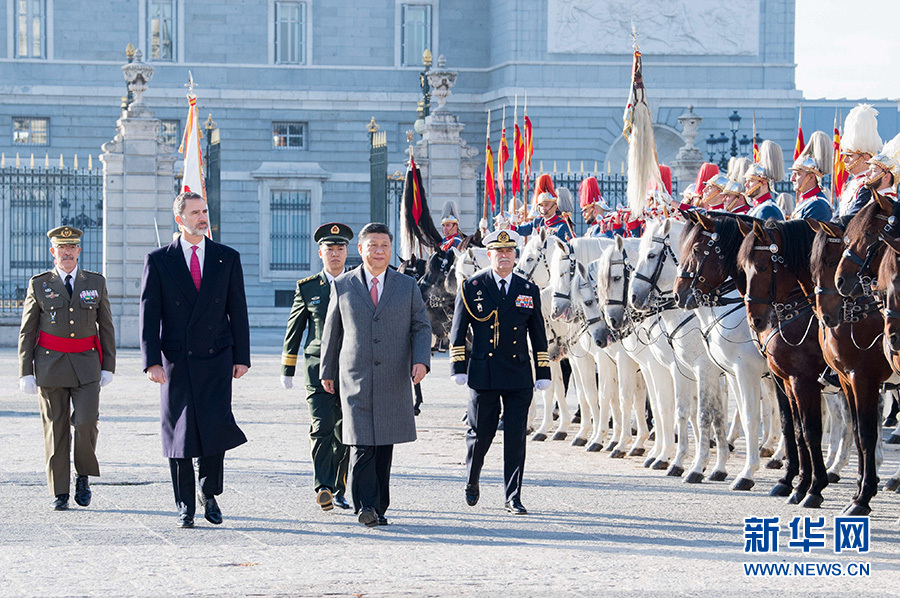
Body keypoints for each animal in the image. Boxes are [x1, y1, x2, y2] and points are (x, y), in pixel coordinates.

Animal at [740, 218, 828, 508]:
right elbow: (796, 430)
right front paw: (797, 484)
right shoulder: (786, 381)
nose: (754, 320)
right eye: (743, 268)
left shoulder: (804, 382)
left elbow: (811, 431)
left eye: (763, 266)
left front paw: (813, 488)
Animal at [804, 218, 888, 516]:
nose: (826, 316)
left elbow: (866, 433)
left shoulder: (864, 379)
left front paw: (862, 497)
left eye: (831, 262)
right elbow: (857, 433)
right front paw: (860, 491)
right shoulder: (845, 379)